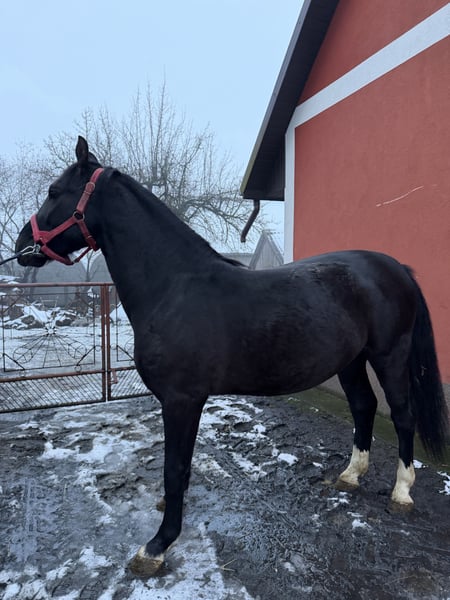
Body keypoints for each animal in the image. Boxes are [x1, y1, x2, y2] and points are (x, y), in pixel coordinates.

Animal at [15, 136, 448, 577]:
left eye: (54, 191)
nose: (22, 246)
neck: (175, 287)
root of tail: (395, 267)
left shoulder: (182, 399)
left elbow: (174, 467)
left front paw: (158, 545)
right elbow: (179, 465)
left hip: (390, 356)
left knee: (402, 415)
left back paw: (401, 492)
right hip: (351, 360)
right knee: (364, 405)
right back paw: (350, 475)